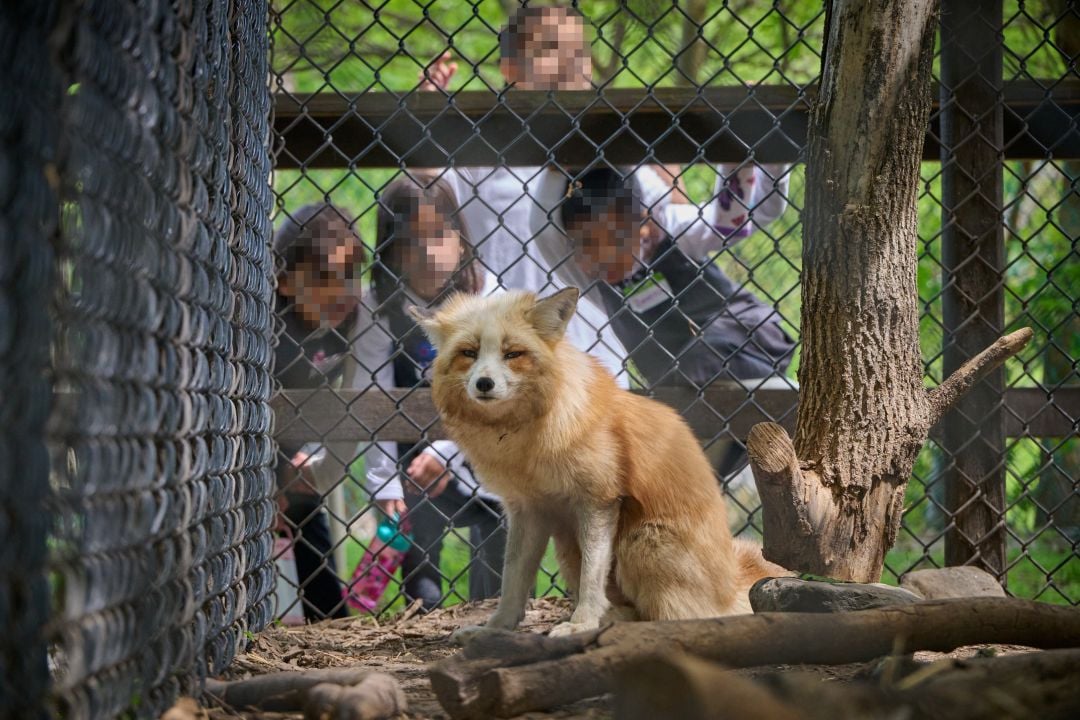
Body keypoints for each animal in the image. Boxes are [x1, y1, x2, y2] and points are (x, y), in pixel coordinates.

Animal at [410, 287, 787, 639]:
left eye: (512, 354)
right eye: (468, 353)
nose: (484, 383)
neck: (526, 444)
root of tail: (731, 582)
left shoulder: (598, 500)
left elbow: (592, 577)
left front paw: (582, 623)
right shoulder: (528, 509)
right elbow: (513, 580)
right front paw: (496, 628)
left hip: (638, 542)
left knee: (678, 617)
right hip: (567, 543)